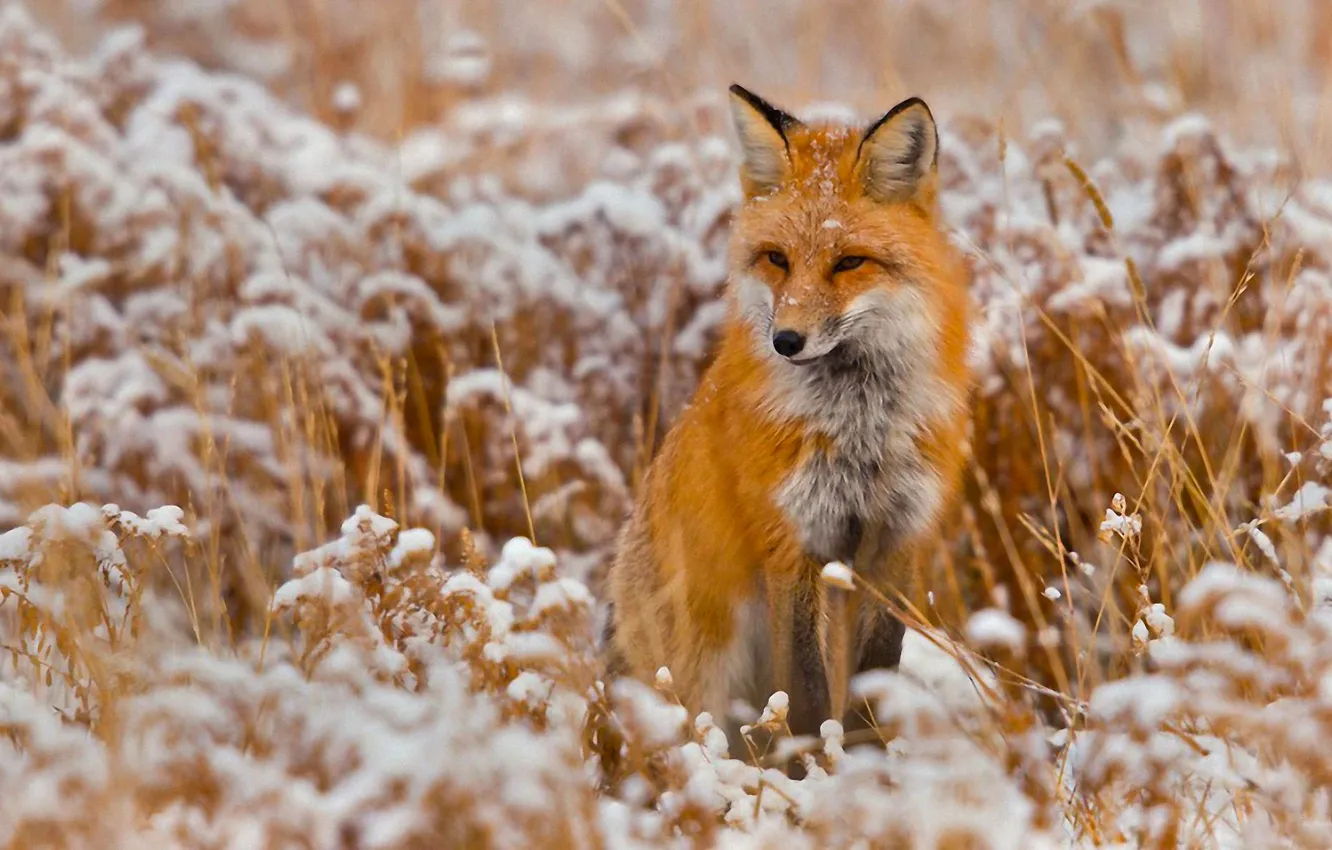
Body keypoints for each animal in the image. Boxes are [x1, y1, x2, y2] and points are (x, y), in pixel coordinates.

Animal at [602, 84, 972, 741]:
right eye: (776, 259)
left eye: (849, 262)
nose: (787, 341)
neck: (859, 427)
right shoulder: (792, 542)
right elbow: (803, 693)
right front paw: (814, 760)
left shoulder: (898, 541)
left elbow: (875, 679)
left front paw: (866, 758)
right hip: (702, 670)